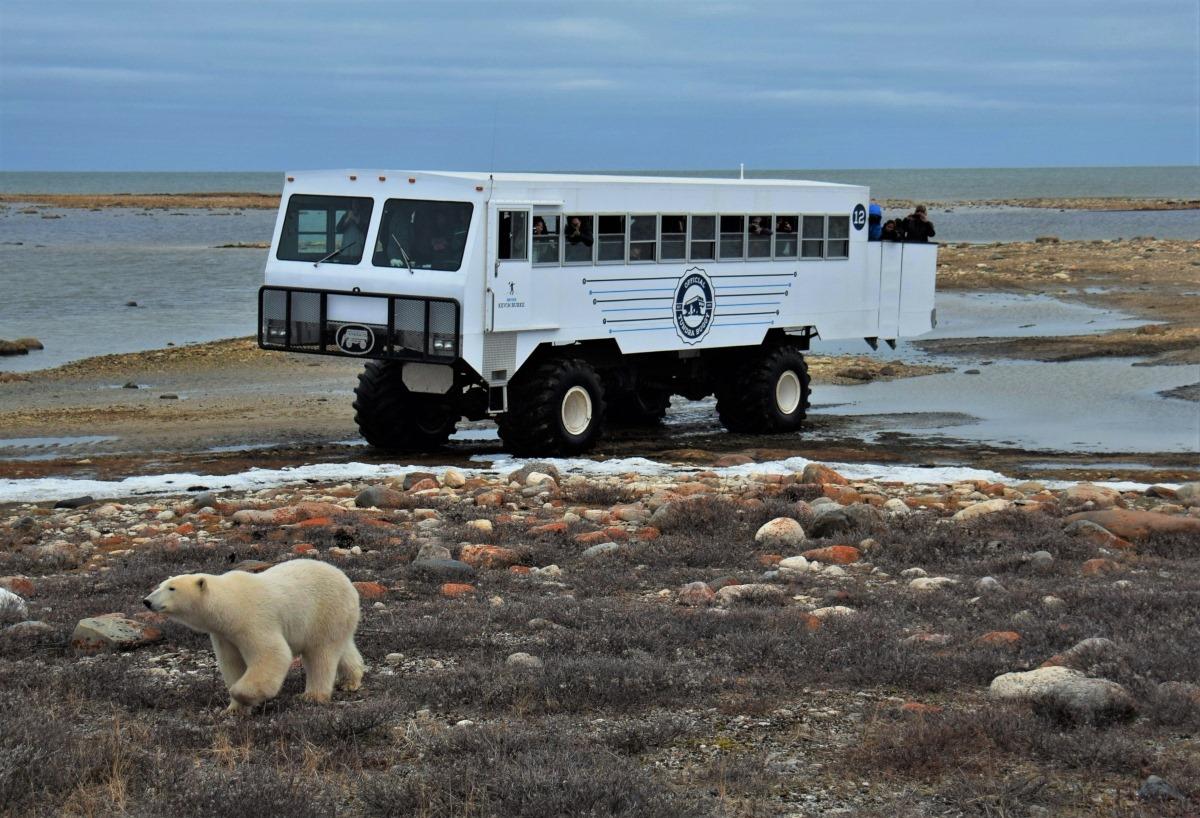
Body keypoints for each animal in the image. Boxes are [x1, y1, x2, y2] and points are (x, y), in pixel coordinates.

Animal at [144, 556, 362, 710]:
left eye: (171, 588)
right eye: (160, 585)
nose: (147, 601)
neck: (229, 604)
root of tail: (349, 584)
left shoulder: (252, 620)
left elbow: (272, 654)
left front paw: (242, 694)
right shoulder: (224, 634)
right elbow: (232, 663)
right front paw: (234, 708)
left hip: (324, 612)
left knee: (321, 655)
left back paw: (313, 696)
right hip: (338, 618)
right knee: (343, 648)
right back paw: (350, 681)